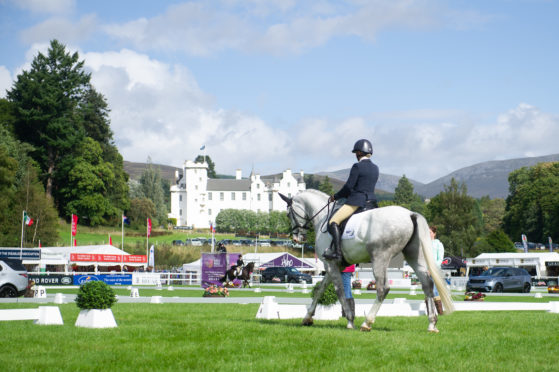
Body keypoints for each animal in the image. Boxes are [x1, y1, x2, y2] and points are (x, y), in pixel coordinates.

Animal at [280, 190, 456, 332]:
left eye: (288, 214)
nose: (297, 238)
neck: (323, 217)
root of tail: (410, 214)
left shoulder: (330, 264)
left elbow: (339, 291)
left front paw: (350, 321)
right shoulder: (332, 266)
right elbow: (320, 289)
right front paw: (307, 318)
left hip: (379, 258)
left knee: (383, 288)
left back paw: (367, 323)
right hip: (413, 256)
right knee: (427, 285)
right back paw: (432, 324)